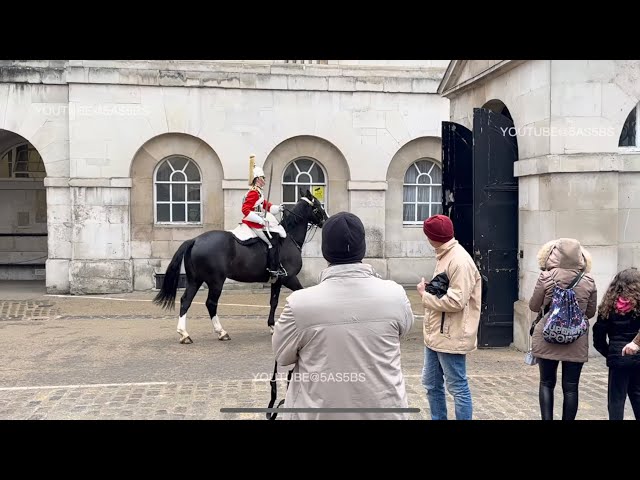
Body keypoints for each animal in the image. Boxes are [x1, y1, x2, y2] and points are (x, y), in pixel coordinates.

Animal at [152, 189, 328, 344]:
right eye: (317, 205)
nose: (327, 221)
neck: (288, 238)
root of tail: (195, 240)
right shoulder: (289, 278)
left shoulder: (277, 280)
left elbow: (274, 301)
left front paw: (272, 326)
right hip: (216, 282)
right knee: (210, 303)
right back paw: (221, 332)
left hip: (195, 280)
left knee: (185, 301)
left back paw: (184, 334)